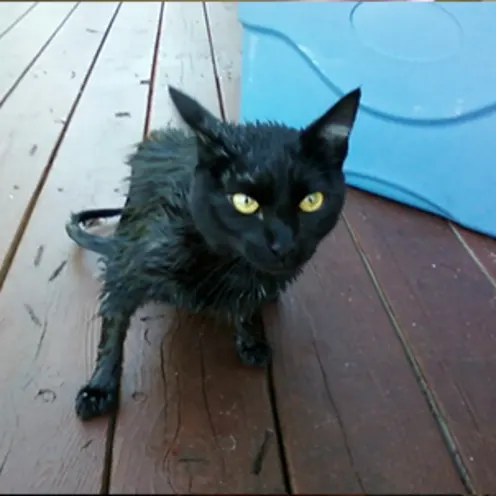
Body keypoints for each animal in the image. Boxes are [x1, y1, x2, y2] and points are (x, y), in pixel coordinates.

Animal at [66, 84, 360, 418]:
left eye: (311, 201)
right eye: (245, 202)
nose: (283, 244)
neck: (229, 263)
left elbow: (246, 308)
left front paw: (250, 338)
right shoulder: (128, 269)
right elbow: (112, 328)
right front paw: (100, 386)